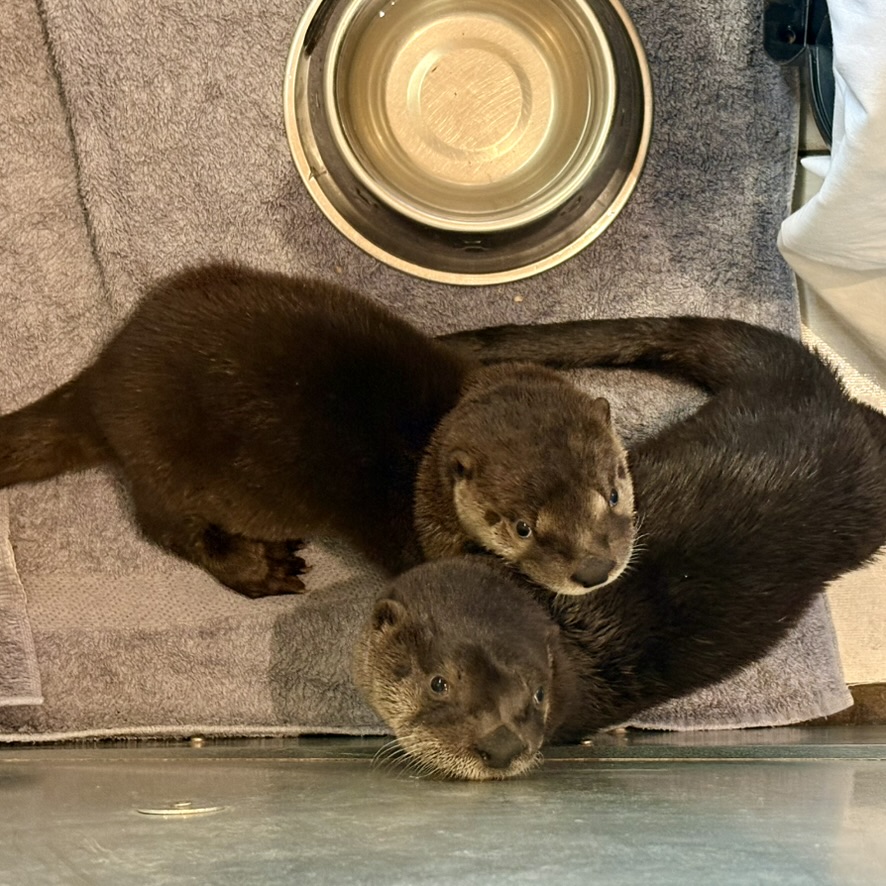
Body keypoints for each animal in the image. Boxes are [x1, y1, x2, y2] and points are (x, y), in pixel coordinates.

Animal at [0, 264, 633, 597]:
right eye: (523, 527)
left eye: (613, 492)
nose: (594, 570)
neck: (426, 450)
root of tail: (104, 378)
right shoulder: (420, 535)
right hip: (167, 466)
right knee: (163, 528)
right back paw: (262, 568)